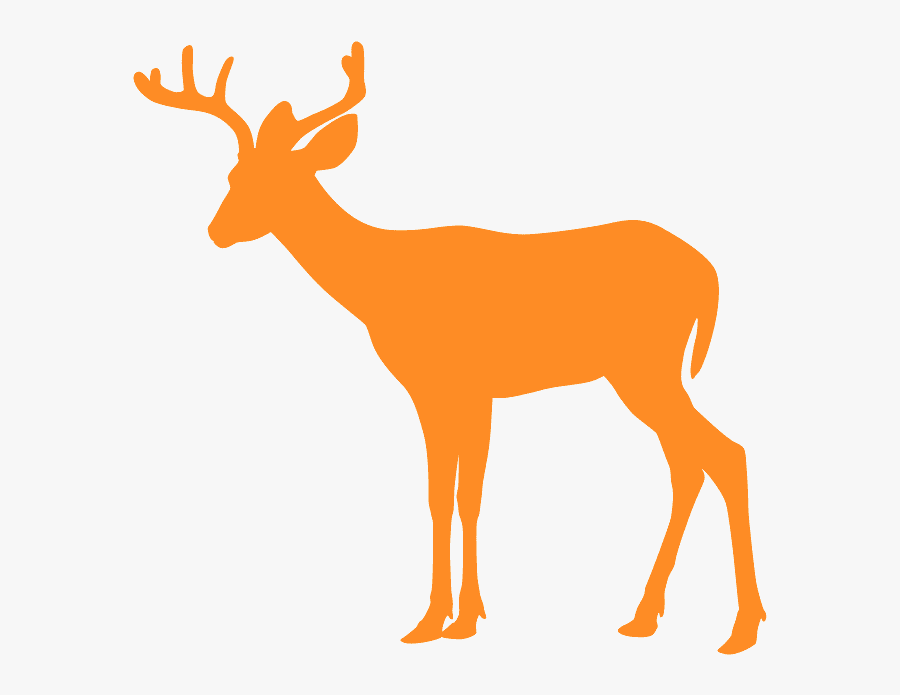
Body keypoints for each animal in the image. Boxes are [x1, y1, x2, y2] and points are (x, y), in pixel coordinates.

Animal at [134, 41, 766, 654]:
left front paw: (453, 619)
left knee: (724, 454)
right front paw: (447, 618)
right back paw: (645, 616)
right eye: (234, 174)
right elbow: (446, 496)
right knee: (689, 463)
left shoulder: (462, 386)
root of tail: (708, 272)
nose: (216, 230)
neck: (384, 286)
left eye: (276, 179)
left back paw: (741, 627)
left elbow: (462, 496)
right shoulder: (444, 392)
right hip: (641, 375)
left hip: (645, 367)